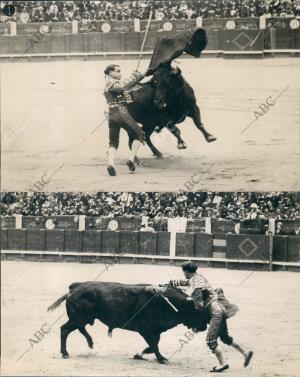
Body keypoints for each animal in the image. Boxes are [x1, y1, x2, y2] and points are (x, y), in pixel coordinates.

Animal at [48, 280, 210, 362]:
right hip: (81, 317)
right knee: (70, 329)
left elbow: (153, 345)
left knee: (66, 329)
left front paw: (139, 354)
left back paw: (70, 351)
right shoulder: (146, 330)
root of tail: (74, 287)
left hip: (80, 318)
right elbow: (154, 345)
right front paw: (162, 359)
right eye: (198, 311)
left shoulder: (155, 331)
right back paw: (77, 348)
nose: (204, 327)